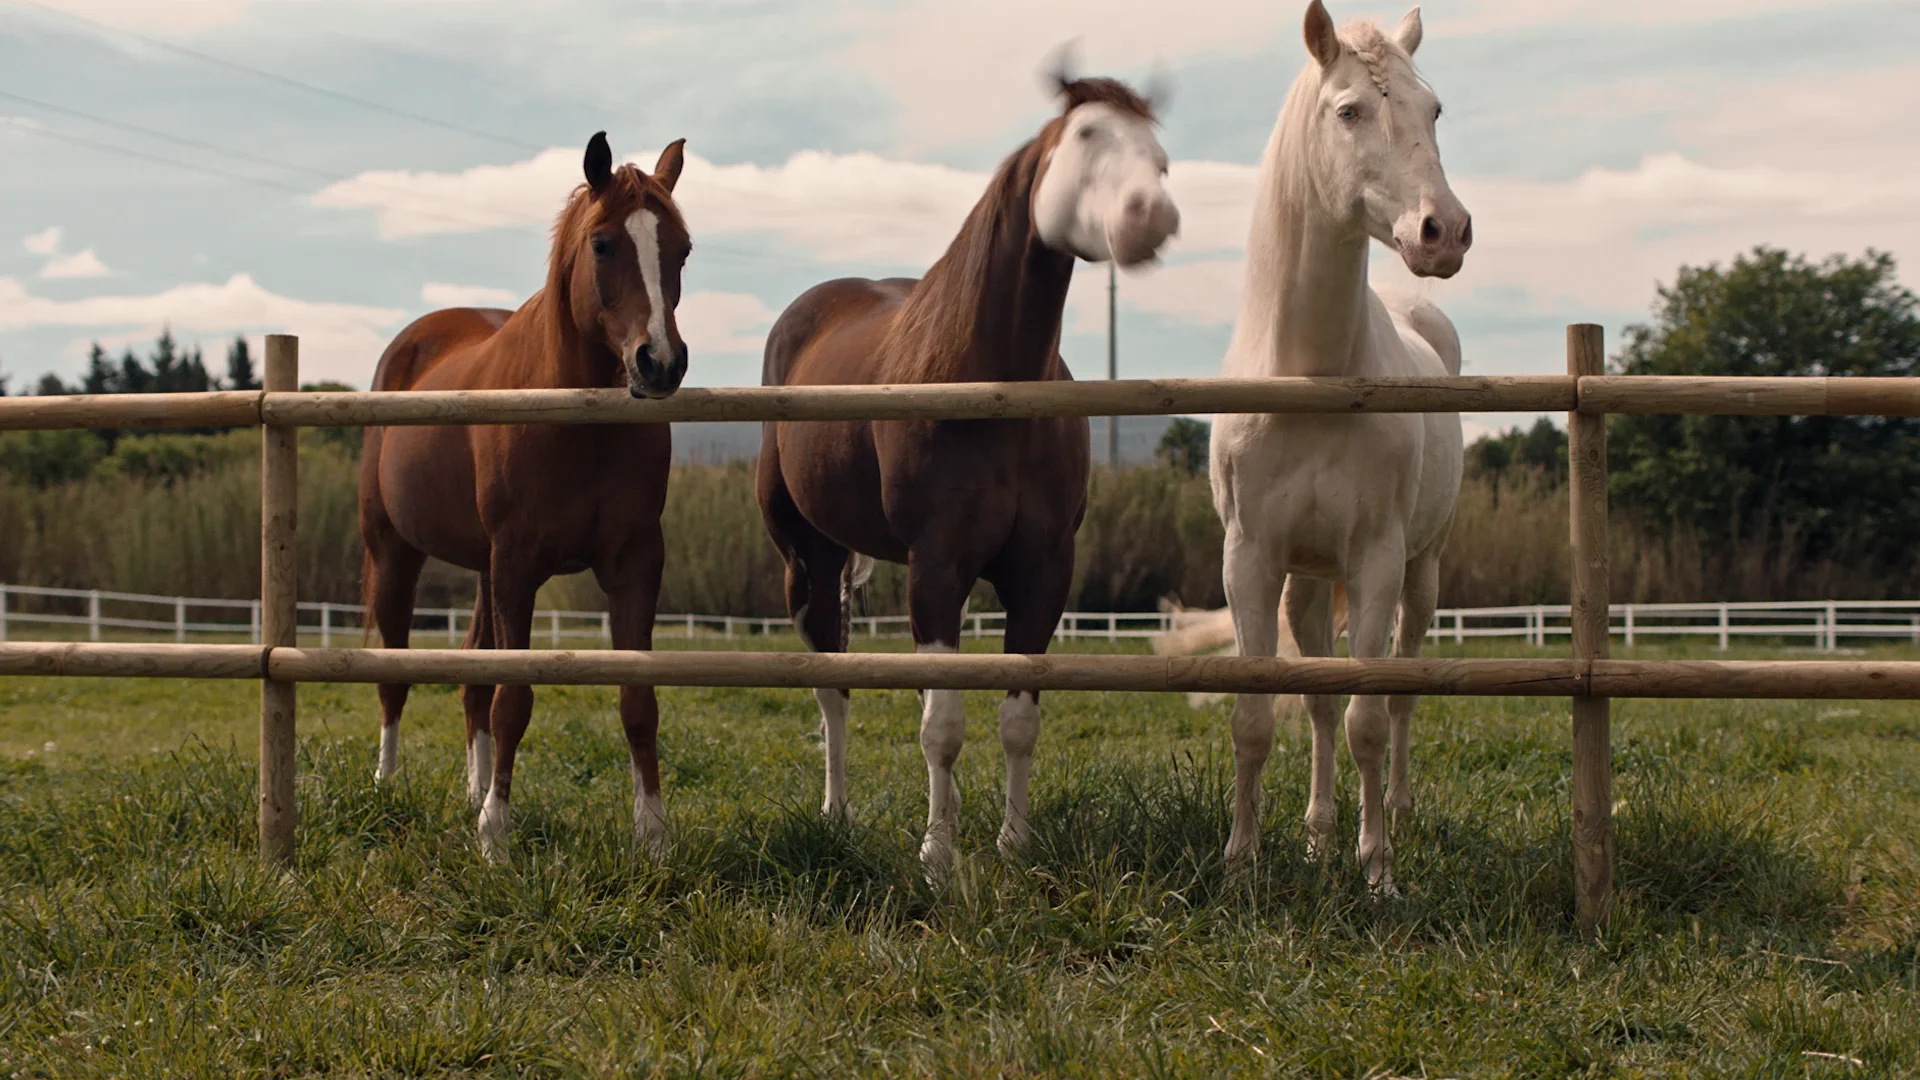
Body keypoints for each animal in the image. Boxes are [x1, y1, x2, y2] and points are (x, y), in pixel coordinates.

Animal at [357, 132, 695, 857]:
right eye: (603, 244)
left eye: (682, 249)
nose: (659, 363)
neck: (574, 420)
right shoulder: (517, 565)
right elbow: (514, 698)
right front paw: (495, 835)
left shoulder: (633, 565)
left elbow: (637, 700)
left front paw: (652, 834)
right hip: (396, 555)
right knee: (394, 672)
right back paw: (386, 785)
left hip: (481, 571)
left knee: (470, 677)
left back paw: (471, 788)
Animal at [752, 69, 1175, 876]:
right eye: (1085, 134)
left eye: (1158, 149)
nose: (1152, 216)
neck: (985, 378)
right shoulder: (938, 566)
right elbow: (941, 725)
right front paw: (937, 857)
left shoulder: (1042, 571)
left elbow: (1016, 718)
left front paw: (1013, 844)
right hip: (806, 563)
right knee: (832, 690)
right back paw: (835, 813)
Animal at [1213, 2, 1466, 891]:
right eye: (1349, 110)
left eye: (1434, 110)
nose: (1442, 232)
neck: (1312, 374)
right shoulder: (1252, 560)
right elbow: (1261, 716)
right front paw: (1243, 861)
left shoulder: (1378, 558)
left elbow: (1367, 718)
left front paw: (1378, 868)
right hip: (1308, 582)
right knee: (1321, 700)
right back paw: (1319, 833)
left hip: (1421, 571)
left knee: (1399, 695)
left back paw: (1395, 812)